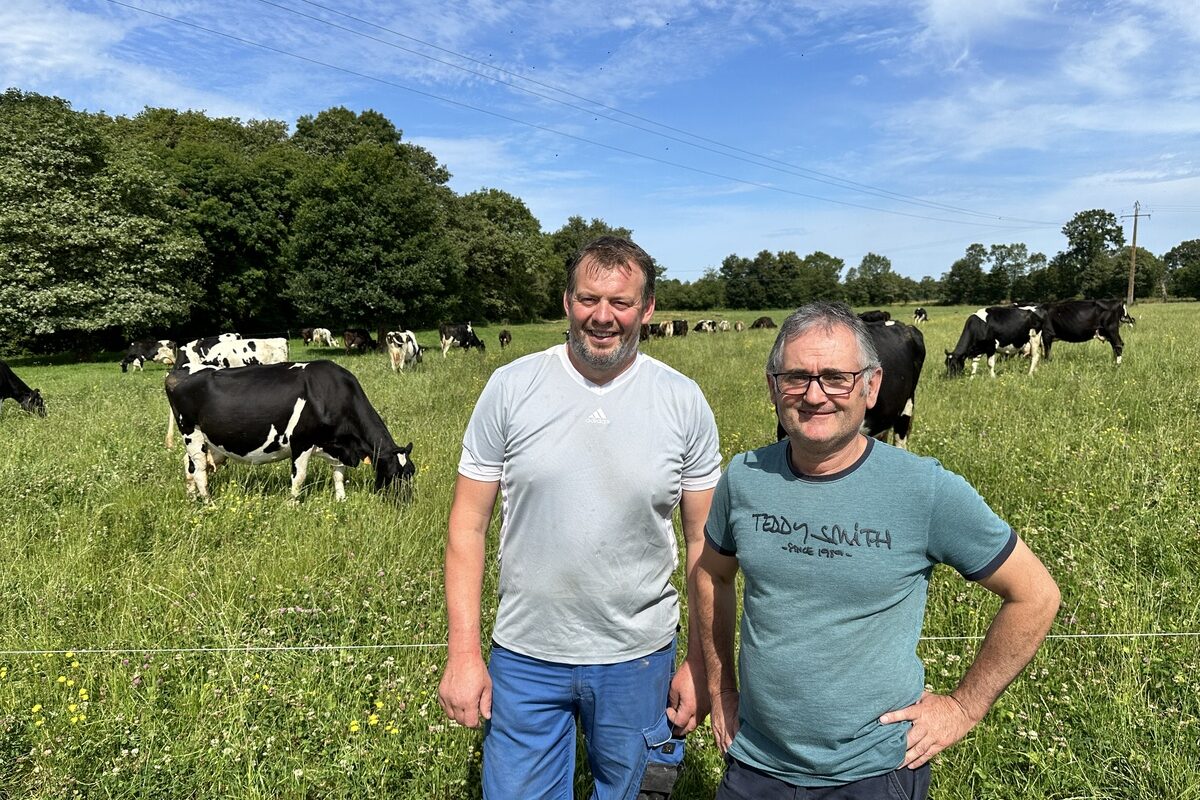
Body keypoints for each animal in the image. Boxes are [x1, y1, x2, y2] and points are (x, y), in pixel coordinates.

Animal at [165, 362, 417, 501]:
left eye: (410, 473)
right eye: (393, 473)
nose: (405, 502)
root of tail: (178, 371)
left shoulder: (337, 445)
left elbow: (338, 474)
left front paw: (341, 500)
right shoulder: (301, 442)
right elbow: (299, 477)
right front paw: (292, 505)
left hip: (210, 443)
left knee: (188, 466)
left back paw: (192, 499)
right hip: (192, 433)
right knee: (199, 471)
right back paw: (209, 503)